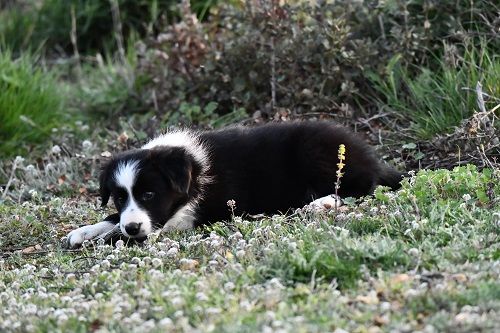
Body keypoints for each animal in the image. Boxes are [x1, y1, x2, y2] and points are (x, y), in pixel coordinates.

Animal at [65, 121, 402, 246]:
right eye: (120, 198)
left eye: (149, 194)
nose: (133, 228)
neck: (191, 169)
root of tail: (370, 156)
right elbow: (113, 219)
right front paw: (86, 230)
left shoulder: (192, 214)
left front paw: (105, 236)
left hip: (316, 151)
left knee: (363, 185)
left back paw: (323, 202)